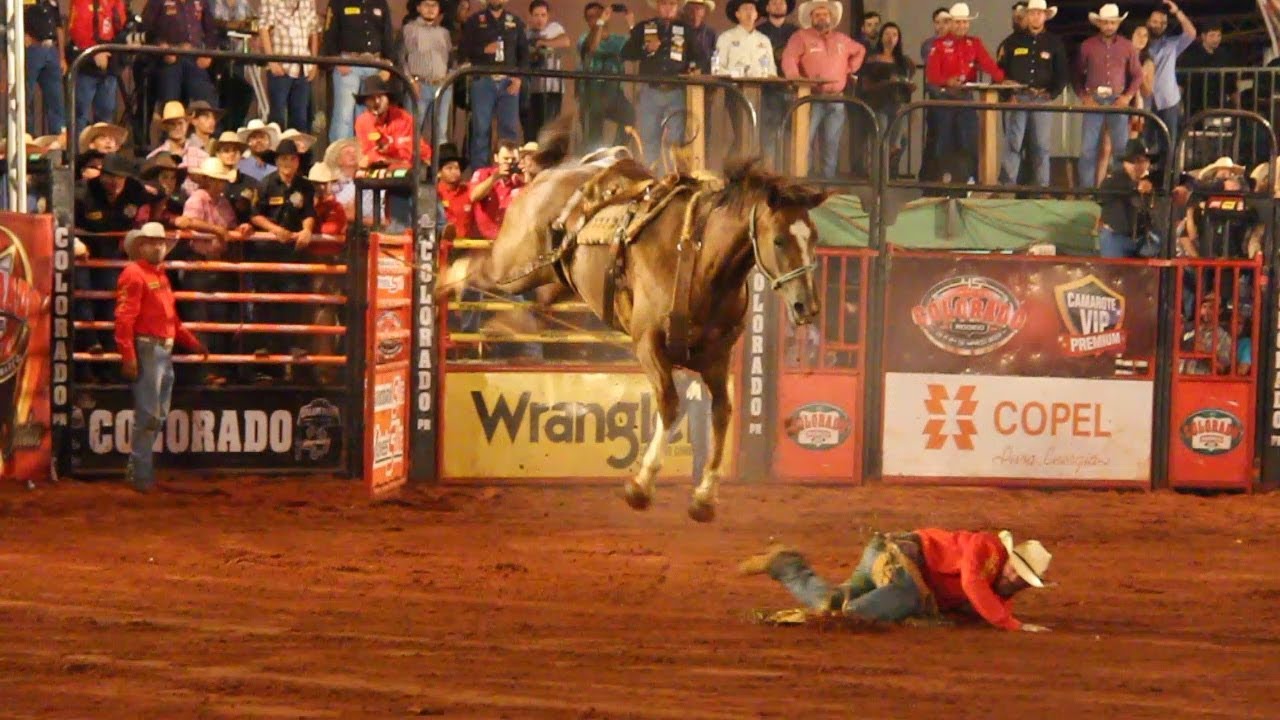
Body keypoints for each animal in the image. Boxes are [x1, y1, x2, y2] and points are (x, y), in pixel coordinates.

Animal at [442, 131, 829, 517]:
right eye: (778, 239)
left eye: (814, 237)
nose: (806, 305)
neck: (699, 259)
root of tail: (548, 174)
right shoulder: (648, 344)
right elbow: (670, 405)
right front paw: (641, 485)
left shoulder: (717, 357)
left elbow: (722, 412)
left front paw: (705, 495)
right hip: (513, 267)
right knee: (474, 268)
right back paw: (444, 279)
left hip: (553, 277)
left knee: (536, 302)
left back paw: (506, 321)